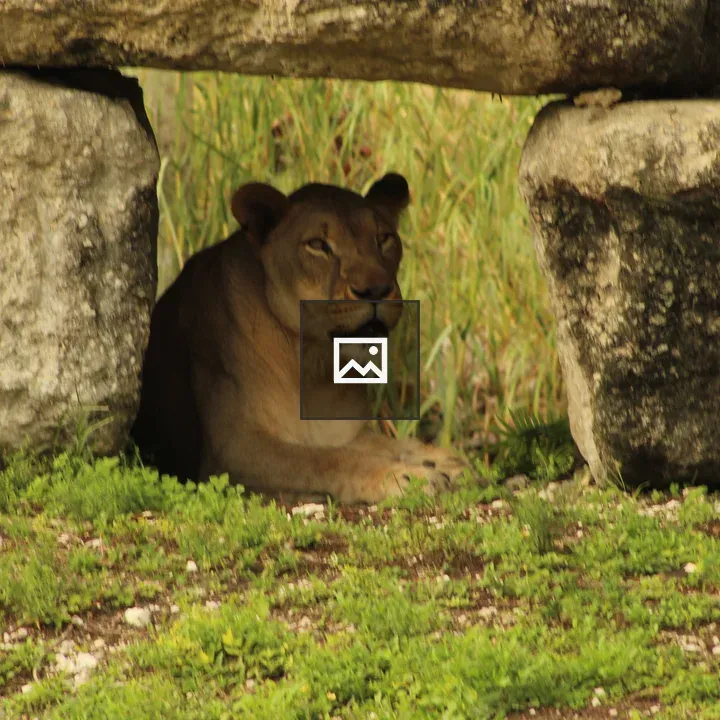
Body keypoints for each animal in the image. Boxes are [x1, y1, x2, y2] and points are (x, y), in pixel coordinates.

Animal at [131, 173, 471, 504]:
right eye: (318, 245)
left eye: (383, 239)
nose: (375, 290)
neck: (314, 367)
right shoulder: (232, 451)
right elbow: (326, 460)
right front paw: (404, 476)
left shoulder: (346, 431)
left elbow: (386, 444)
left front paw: (443, 461)